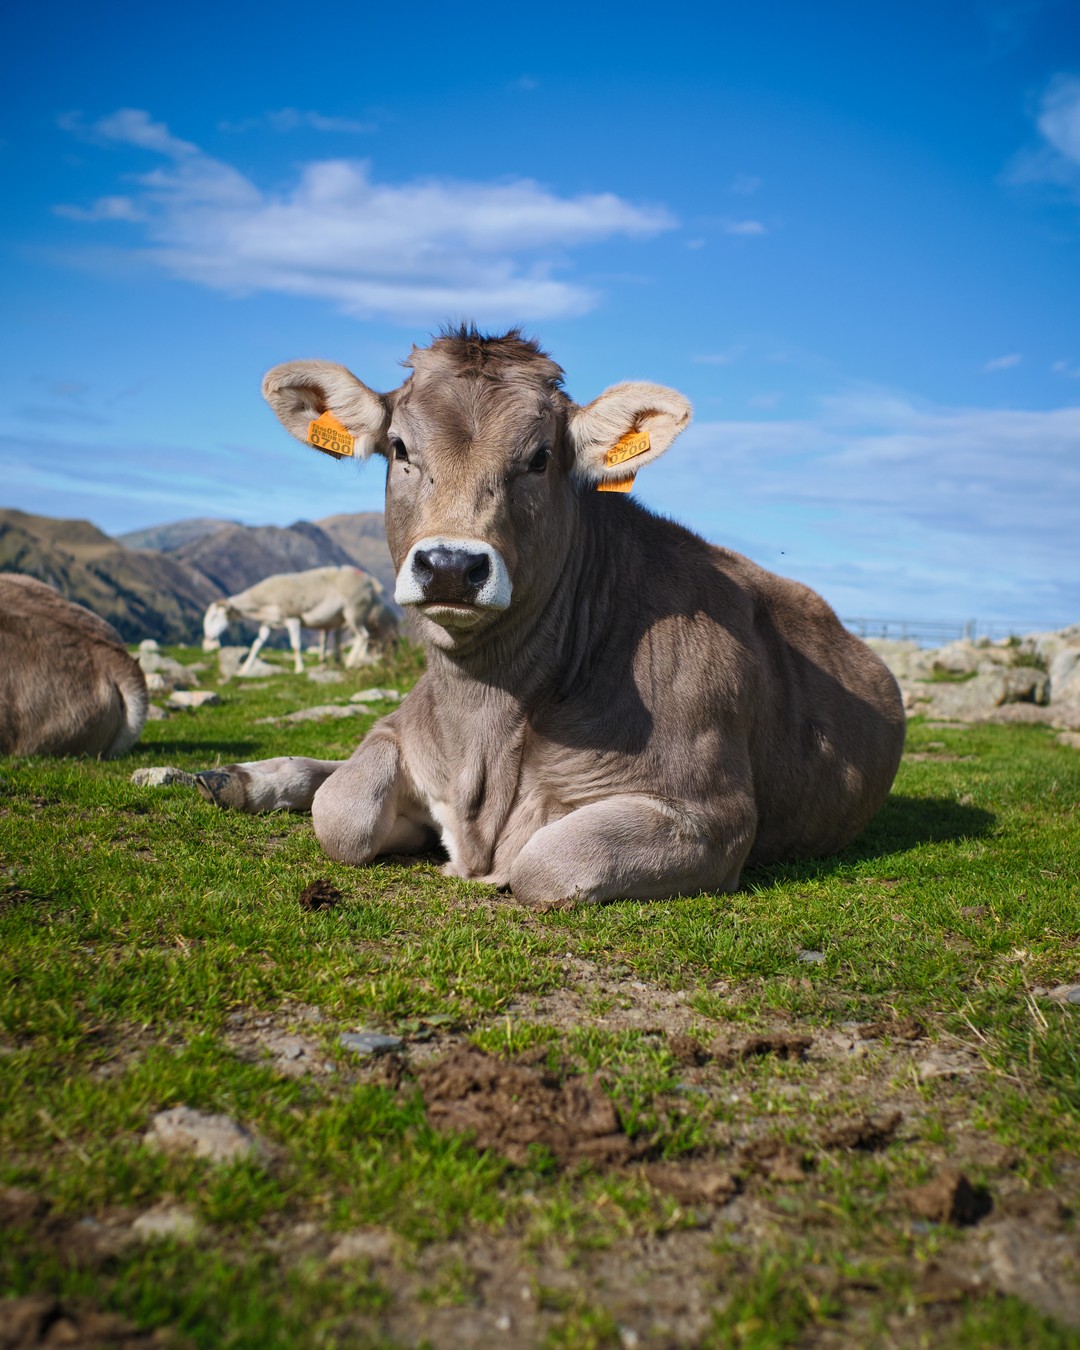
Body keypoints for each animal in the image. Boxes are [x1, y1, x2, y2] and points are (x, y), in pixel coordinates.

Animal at [193, 328, 905, 905]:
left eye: (539, 458)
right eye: (399, 448)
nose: (450, 564)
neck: (483, 729)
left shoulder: (713, 813)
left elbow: (546, 863)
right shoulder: (402, 729)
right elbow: (341, 810)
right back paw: (233, 776)